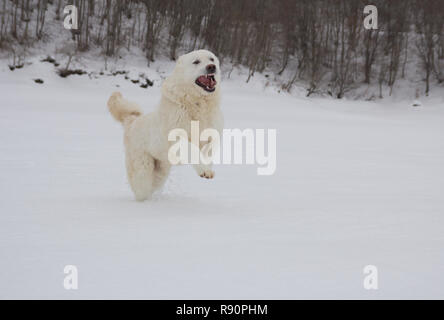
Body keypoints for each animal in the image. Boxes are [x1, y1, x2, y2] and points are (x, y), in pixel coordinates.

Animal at [106, 49, 224, 200]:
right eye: (196, 61)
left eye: (211, 59)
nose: (211, 67)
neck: (197, 104)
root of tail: (132, 121)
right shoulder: (175, 139)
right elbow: (191, 149)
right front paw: (203, 170)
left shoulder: (212, 135)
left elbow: (207, 152)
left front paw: (207, 168)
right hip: (143, 173)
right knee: (141, 190)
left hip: (160, 172)